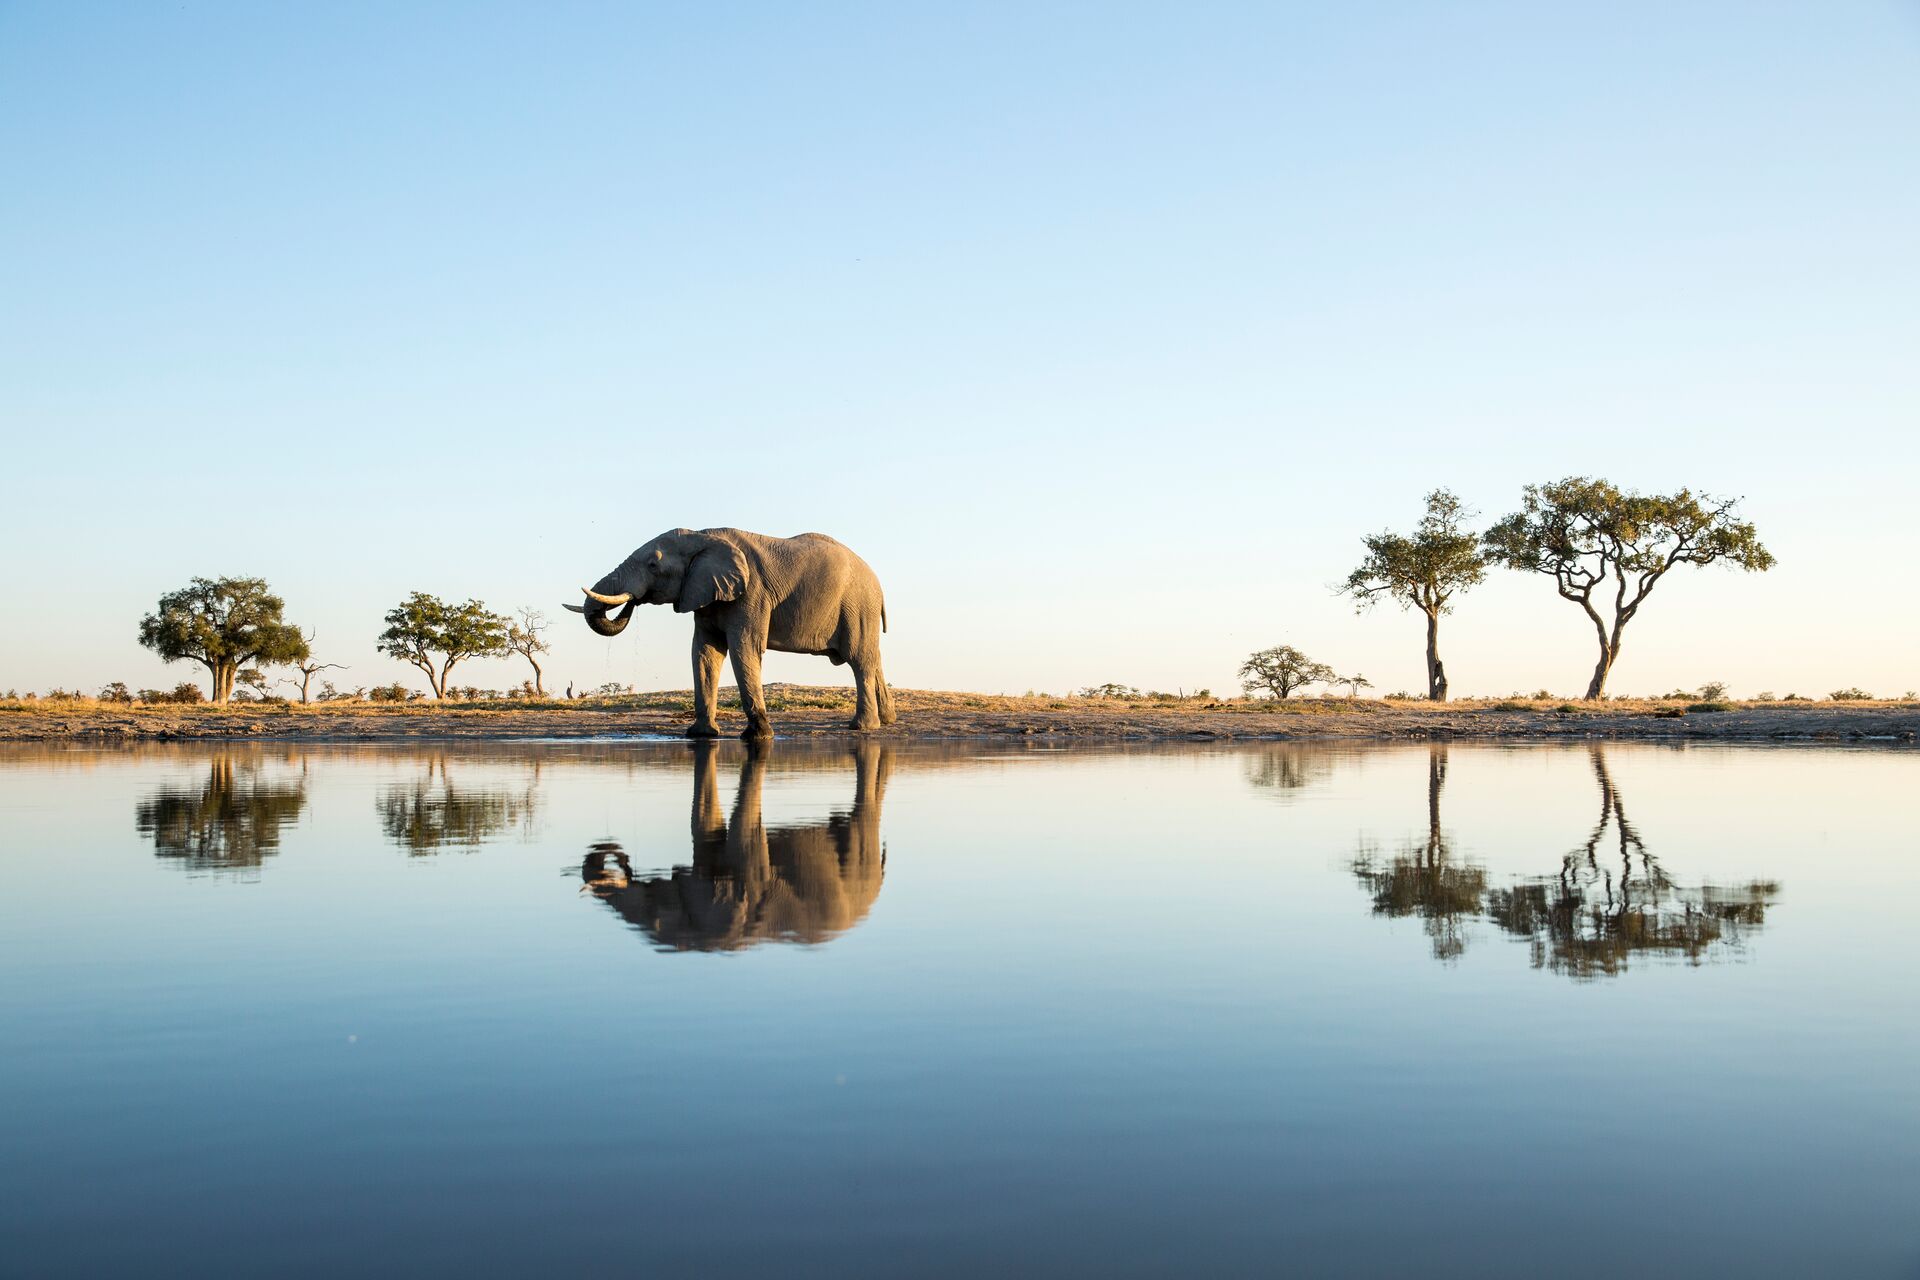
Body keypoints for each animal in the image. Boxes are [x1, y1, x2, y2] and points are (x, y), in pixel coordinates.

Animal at [565, 527, 895, 738]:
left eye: (653, 565)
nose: (633, 600)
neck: (702, 536)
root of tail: (878, 583)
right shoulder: (704, 594)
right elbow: (704, 653)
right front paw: (701, 735)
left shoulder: (751, 594)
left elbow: (743, 649)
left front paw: (758, 736)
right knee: (873, 658)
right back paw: (887, 720)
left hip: (856, 605)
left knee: (859, 660)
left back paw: (862, 727)